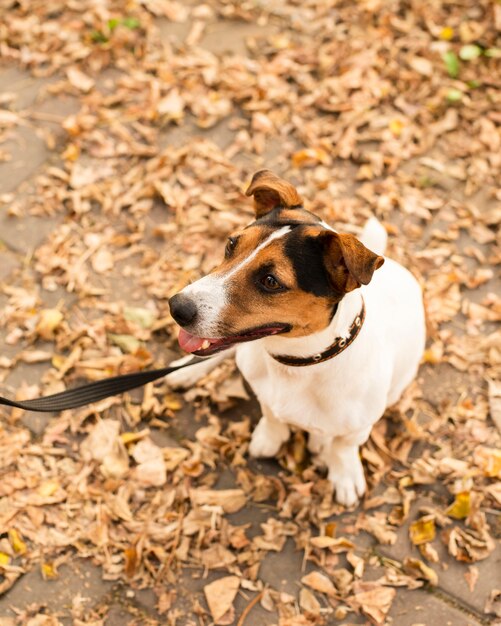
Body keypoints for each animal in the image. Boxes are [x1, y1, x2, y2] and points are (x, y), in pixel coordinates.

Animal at [166, 171, 424, 508]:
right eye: (231, 245)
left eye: (270, 281)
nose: (177, 307)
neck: (295, 364)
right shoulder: (265, 391)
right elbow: (271, 415)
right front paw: (269, 438)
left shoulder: (359, 425)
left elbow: (343, 447)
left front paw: (343, 473)